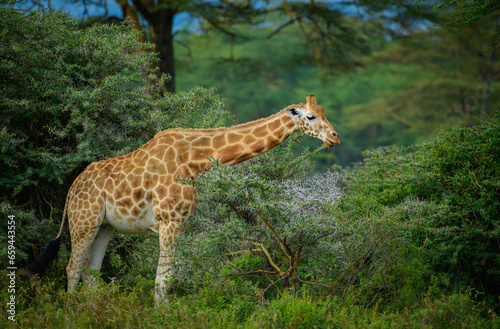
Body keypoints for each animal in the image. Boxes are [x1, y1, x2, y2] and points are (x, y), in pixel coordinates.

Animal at [30, 93, 340, 302]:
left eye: (324, 112)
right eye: (310, 116)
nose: (335, 138)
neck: (195, 160)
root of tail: (71, 190)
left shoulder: (181, 223)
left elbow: (170, 278)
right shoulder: (169, 221)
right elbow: (162, 281)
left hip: (105, 227)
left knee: (91, 273)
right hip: (84, 221)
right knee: (72, 268)